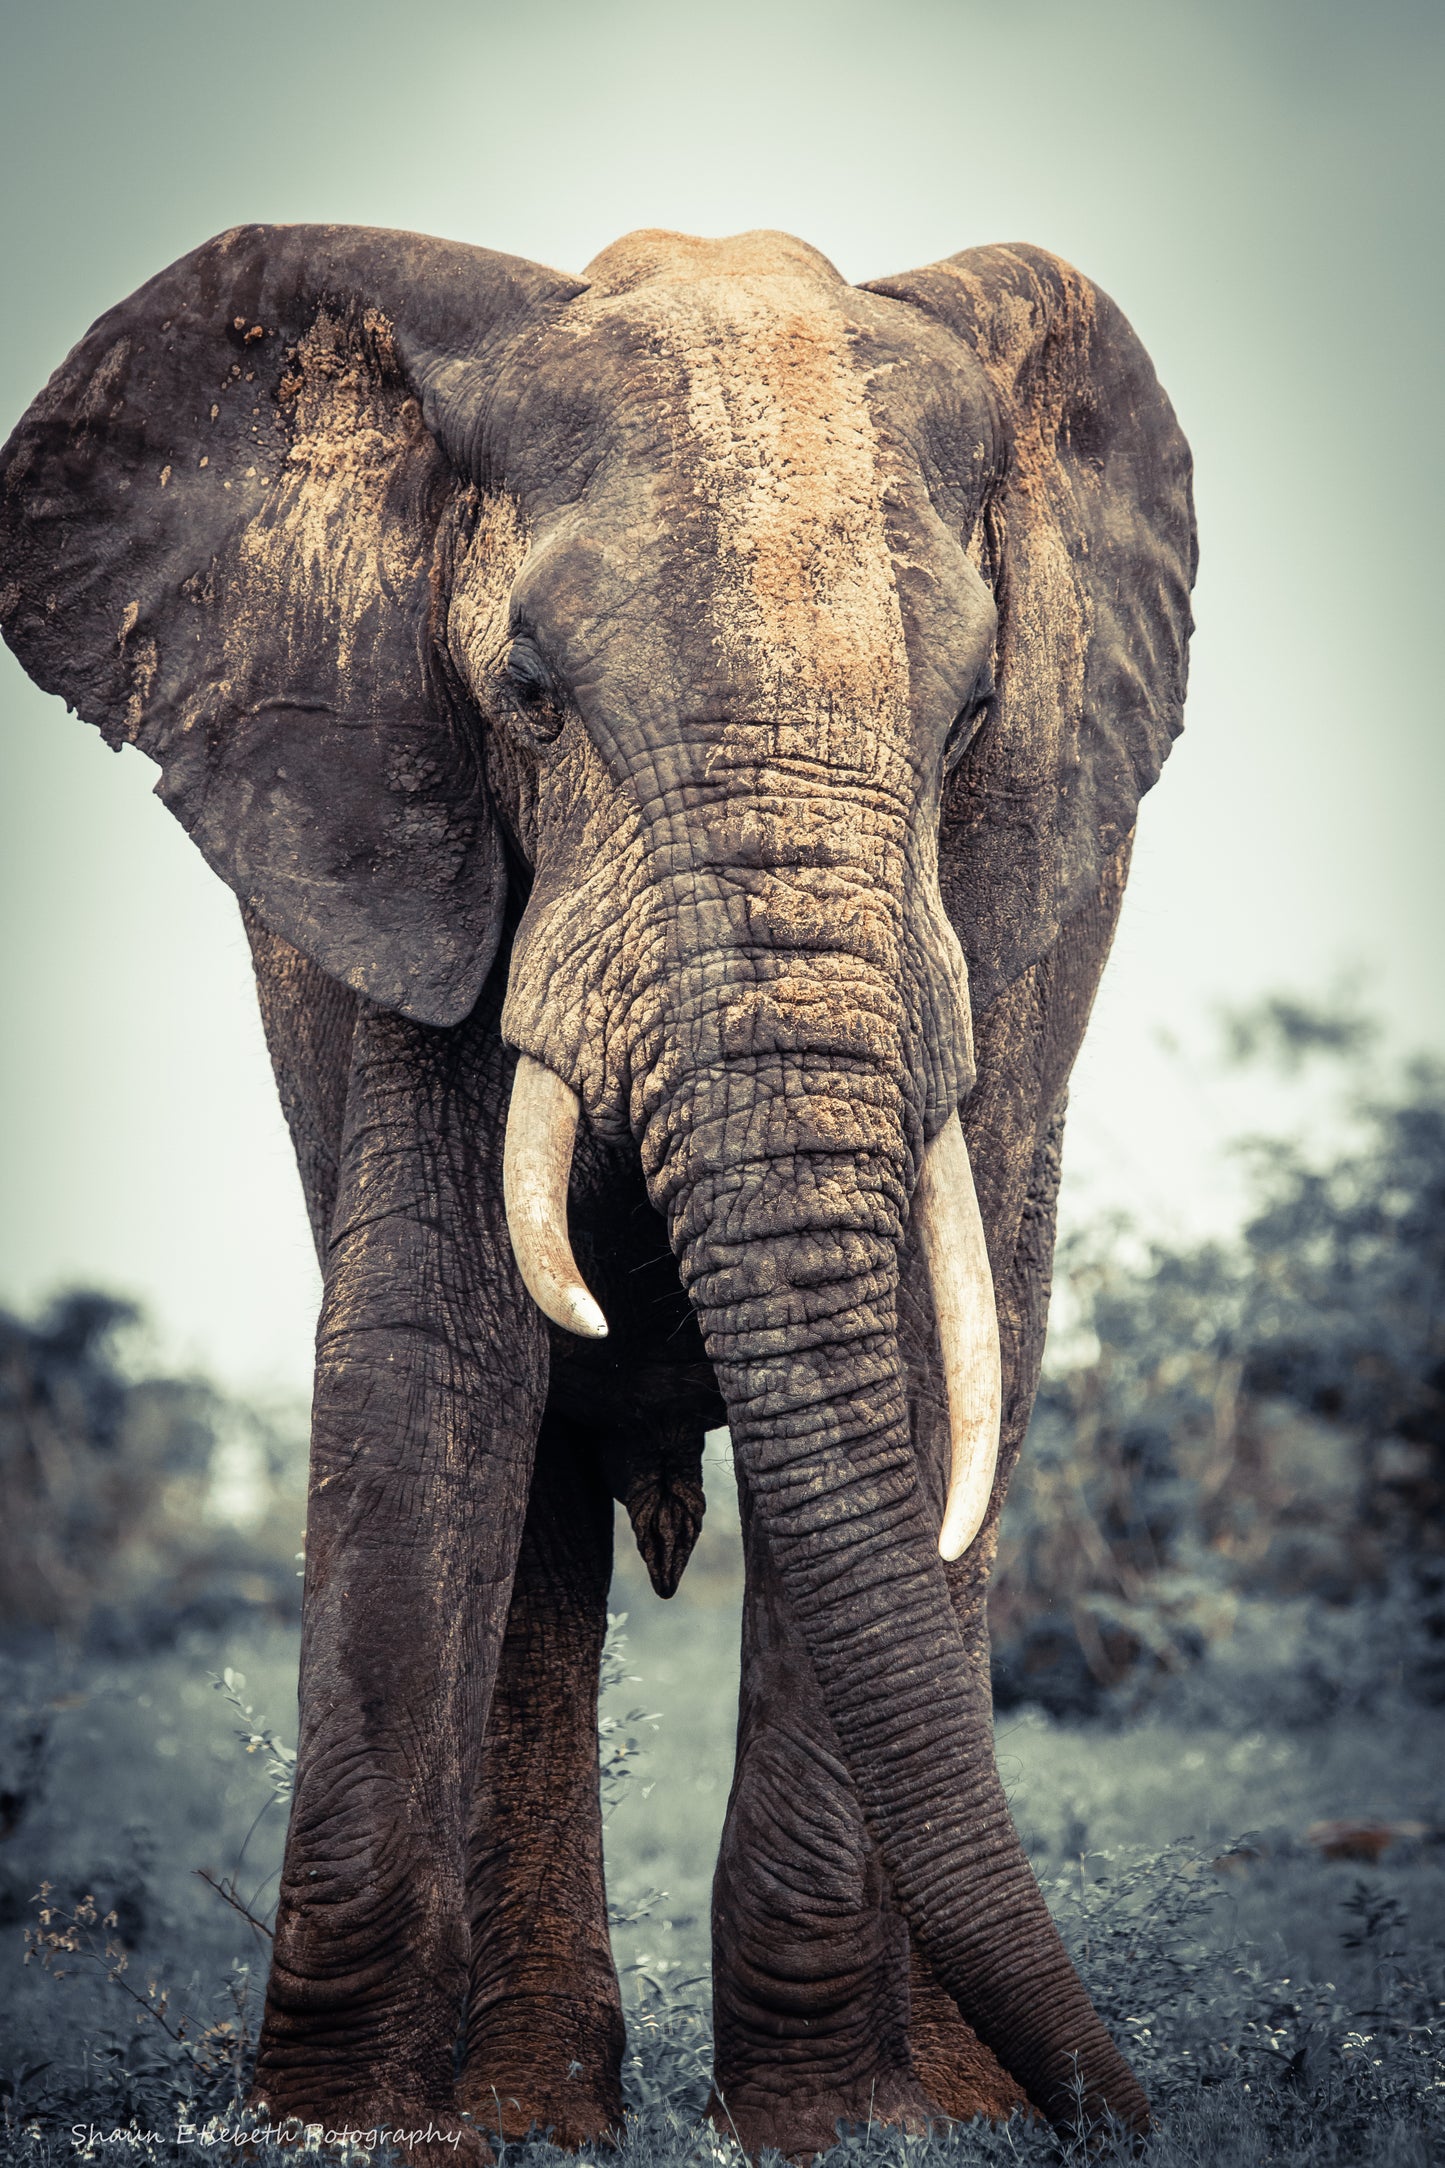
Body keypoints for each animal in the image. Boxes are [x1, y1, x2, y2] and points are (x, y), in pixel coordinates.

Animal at [0, 222, 1194, 2157]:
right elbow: (429, 1360)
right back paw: (529, 2113)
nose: (1132, 2113)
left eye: (972, 723)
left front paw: (844, 2136)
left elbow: (920, 1369)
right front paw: (340, 2130)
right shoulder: (401, 834)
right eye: (532, 698)